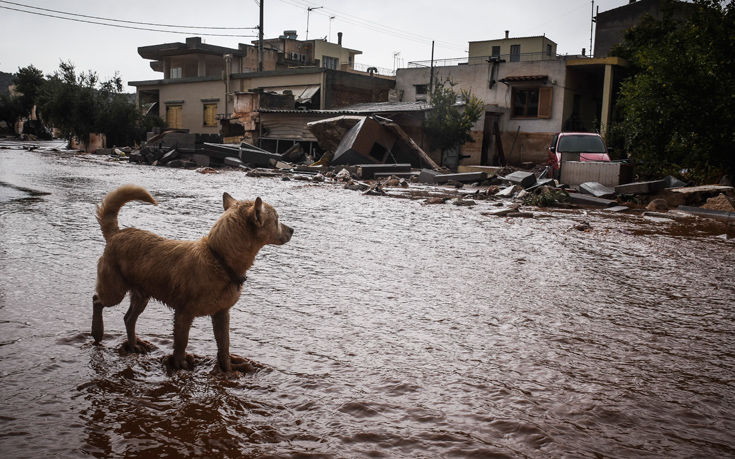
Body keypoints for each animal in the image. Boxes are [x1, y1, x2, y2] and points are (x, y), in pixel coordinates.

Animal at [93, 185, 294, 372]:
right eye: (277, 220)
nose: (292, 229)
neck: (219, 260)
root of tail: (116, 233)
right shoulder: (184, 313)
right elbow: (182, 342)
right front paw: (179, 363)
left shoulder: (222, 314)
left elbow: (224, 345)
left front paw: (227, 369)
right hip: (114, 290)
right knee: (97, 300)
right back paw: (97, 332)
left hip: (142, 295)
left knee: (128, 318)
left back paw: (134, 345)